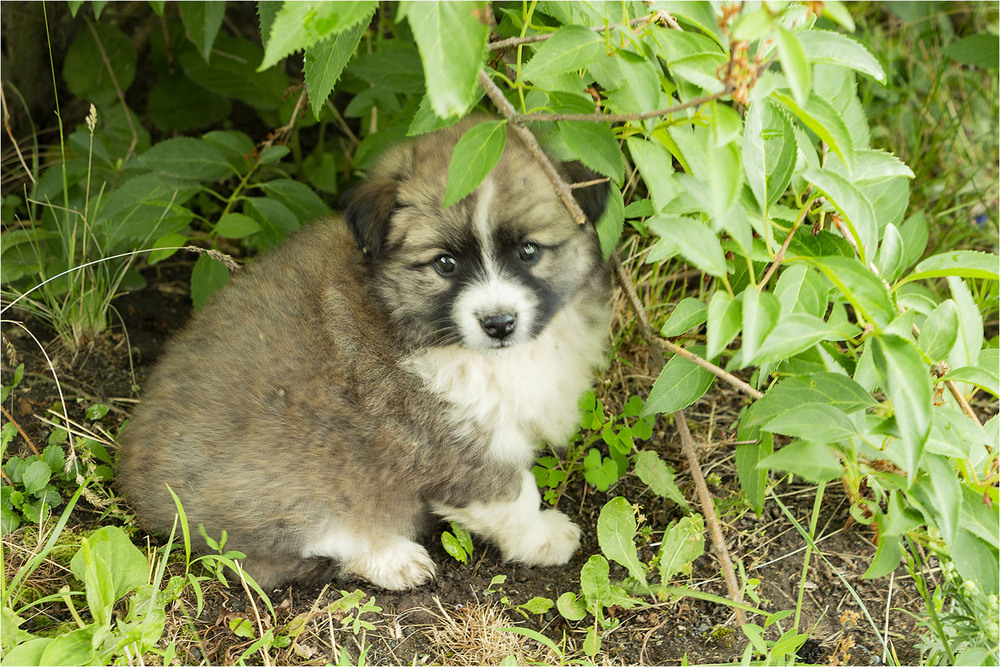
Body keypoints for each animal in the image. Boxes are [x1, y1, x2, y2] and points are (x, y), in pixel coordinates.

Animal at [121, 118, 612, 588]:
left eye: (529, 251)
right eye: (445, 263)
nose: (498, 323)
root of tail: (143, 495)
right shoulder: (452, 444)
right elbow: (513, 496)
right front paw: (544, 538)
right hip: (283, 478)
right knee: (288, 545)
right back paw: (392, 558)